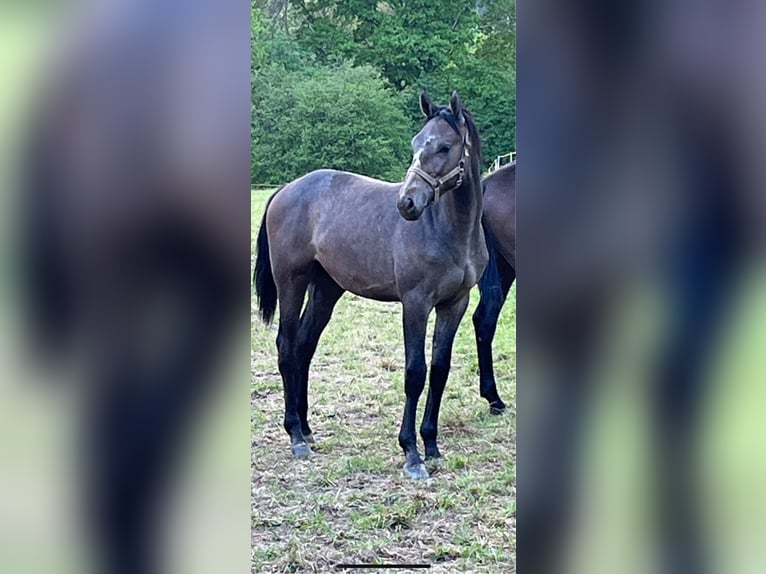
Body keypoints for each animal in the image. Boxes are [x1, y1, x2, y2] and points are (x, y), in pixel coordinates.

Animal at [255, 91, 488, 482]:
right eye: (415, 144)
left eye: (444, 146)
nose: (407, 204)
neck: (449, 230)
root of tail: (285, 190)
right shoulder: (416, 303)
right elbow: (415, 373)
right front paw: (411, 453)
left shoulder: (455, 303)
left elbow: (440, 370)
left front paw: (432, 446)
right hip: (291, 282)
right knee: (286, 347)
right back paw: (295, 436)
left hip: (325, 289)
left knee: (303, 346)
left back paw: (306, 428)